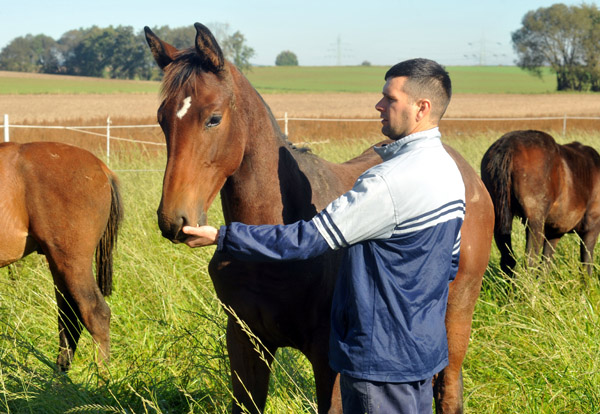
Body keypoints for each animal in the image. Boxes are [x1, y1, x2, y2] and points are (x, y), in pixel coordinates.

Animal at [144, 23, 492, 414]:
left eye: (213, 118)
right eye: (162, 120)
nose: (174, 219)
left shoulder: (330, 361)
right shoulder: (246, 342)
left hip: (458, 311)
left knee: (448, 388)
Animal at [480, 129, 600, 278]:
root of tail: (507, 146)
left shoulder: (553, 233)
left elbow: (545, 265)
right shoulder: (592, 227)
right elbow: (586, 265)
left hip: (499, 220)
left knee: (508, 261)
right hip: (535, 223)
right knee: (530, 261)